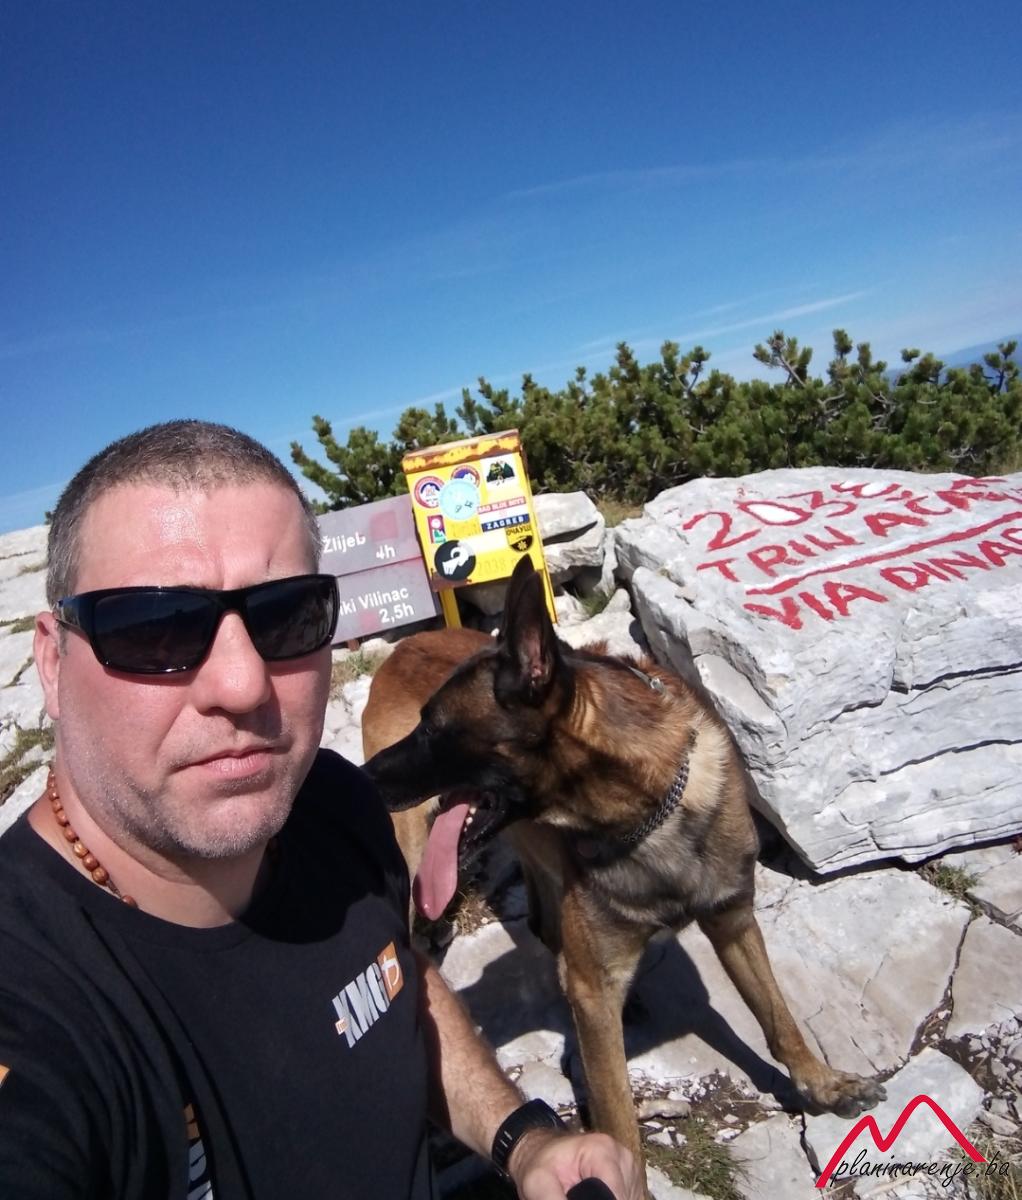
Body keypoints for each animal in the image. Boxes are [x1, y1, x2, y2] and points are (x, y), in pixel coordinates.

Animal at [362, 557, 885, 1177]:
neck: (648, 807)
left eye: (434, 728)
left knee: (544, 921)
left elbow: (777, 1018)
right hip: (413, 845)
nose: (361, 777)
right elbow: (618, 1120)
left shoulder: (733, 920)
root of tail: (405, 644)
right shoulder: (596, 991)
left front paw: (820, 1083)